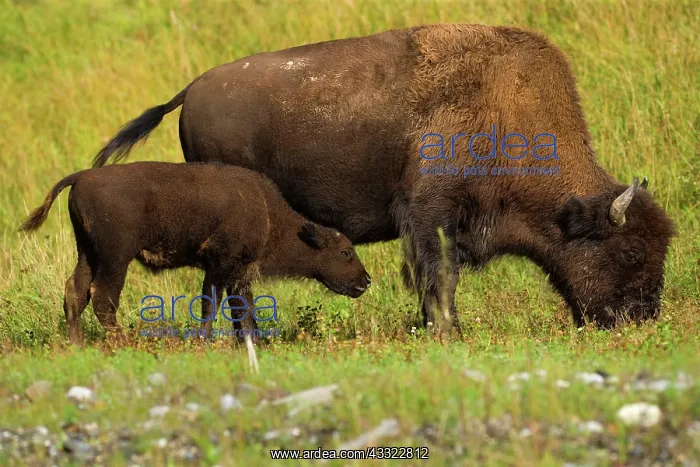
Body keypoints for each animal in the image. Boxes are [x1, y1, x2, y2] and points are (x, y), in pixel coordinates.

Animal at [91, 24, 676, 335]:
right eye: (630, 252)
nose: (643, 318)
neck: (507, 110)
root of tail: (192, 90)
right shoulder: (430, 215)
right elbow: (439, 277)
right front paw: (447, 331)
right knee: (232, 285)